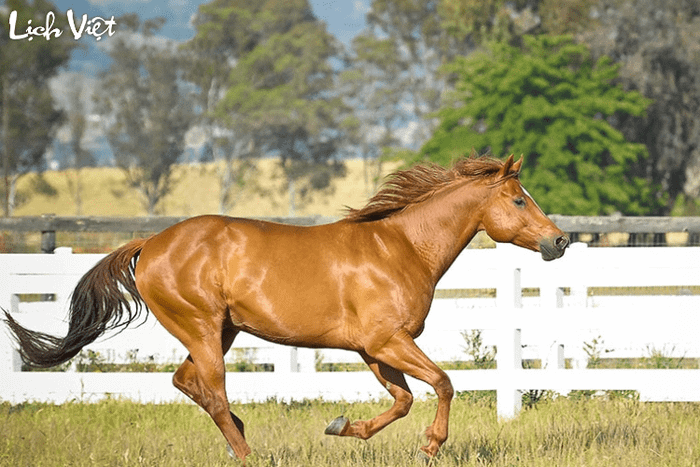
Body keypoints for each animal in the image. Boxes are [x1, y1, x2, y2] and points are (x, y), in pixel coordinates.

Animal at [2, 154, 568, 464]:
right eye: (519, 200)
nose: (560, 241)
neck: (401, 248)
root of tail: (152, 242)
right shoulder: (388, 341)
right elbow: (444, 384)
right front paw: (430, 446)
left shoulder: (374, 350)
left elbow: (404, 400)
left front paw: (343, 428)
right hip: (203, 329)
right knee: (211, 391)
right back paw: (249, 454)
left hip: (222, 331)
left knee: (188, 383)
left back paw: (242, 437)